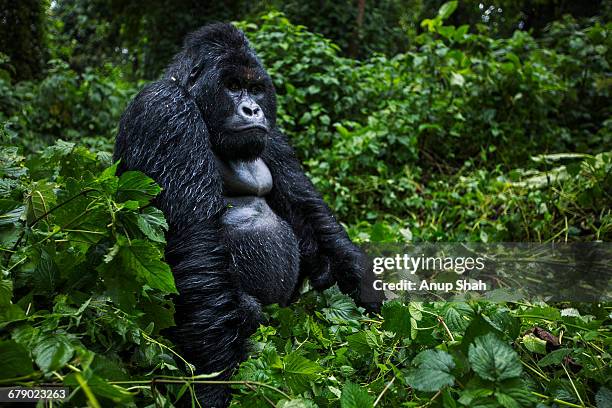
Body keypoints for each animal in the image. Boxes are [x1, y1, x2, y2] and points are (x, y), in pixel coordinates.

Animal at [113, 23, 368, 408]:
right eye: (232, 86)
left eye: (256, 89)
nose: (252, 110)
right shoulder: (165, 110)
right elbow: (196, 244)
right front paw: (212, 388)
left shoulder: (272, 136)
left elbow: (309, 212)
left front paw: (373, 297)